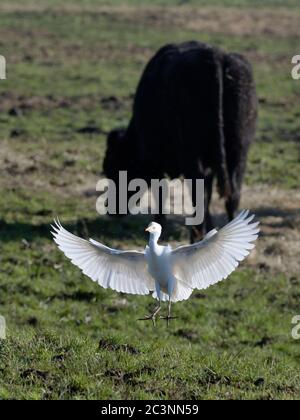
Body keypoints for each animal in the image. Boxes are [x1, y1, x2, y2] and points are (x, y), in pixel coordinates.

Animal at [103, 41, 258, 243]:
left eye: (112, 169)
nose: (109, 209)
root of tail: (214, 55)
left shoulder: (156, 164)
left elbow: (161, 198)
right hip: (239, 152)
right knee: (232, 196)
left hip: (194, 157)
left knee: (200, 197)